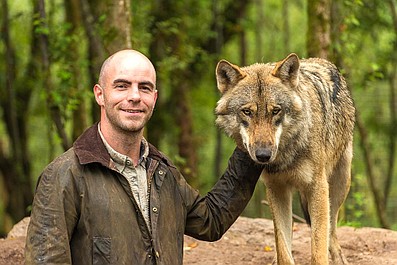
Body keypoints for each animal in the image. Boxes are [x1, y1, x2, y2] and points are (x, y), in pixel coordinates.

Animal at [215, 52, 354, 262]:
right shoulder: (276, 188)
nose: (263, 155)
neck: (286, 156)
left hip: (340, 184)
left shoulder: (318, 187)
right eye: (247, 112)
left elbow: (318, 250)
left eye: (275, 111)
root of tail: (321, 61)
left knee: (331, 234)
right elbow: (283, 250)